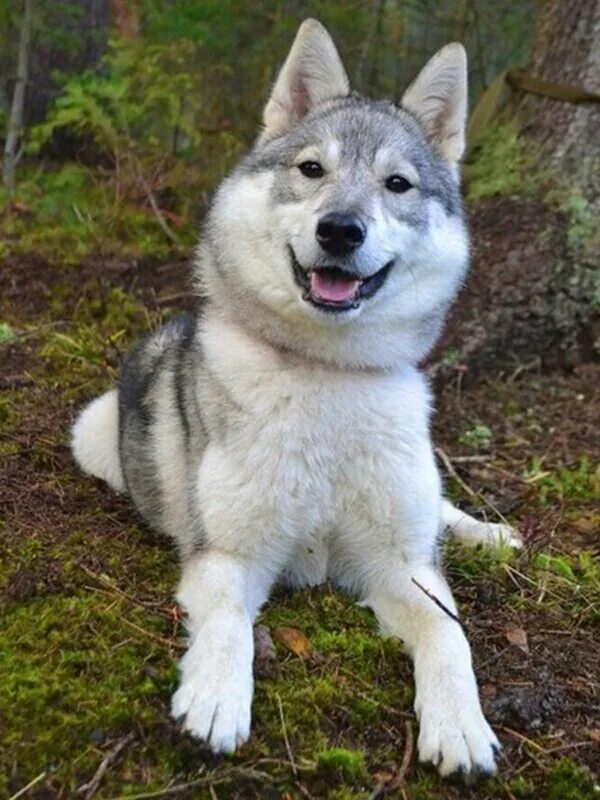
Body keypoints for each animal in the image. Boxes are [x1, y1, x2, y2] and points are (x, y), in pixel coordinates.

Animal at [71, 18, 520, 780]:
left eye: (397, 184)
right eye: (312, 170)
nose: (340, 229)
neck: (327, 374)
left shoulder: (405, 568)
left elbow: (450, 634)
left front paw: (461, 723)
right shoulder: (229, 555)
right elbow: (228, 624)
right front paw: (216, 698)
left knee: (442, 512)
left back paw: (486, 532)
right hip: (92, 433)